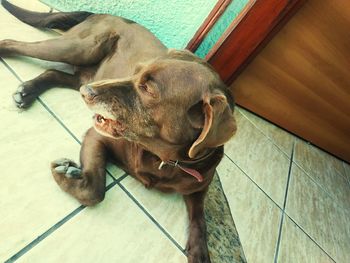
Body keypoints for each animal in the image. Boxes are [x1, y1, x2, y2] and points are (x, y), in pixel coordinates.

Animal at [1, 1, 237, 262]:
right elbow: (95, 191)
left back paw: (28, 92)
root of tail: (100, 13)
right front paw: (66, 173)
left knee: (54, 73)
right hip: (78, 49)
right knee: (12, 43)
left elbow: (200, 219)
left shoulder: (200, 186)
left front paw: (200, 250)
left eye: (148, 88)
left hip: (84, 73)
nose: (88, 92)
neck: (164, 160)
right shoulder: (97, 137)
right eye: (136, 72)